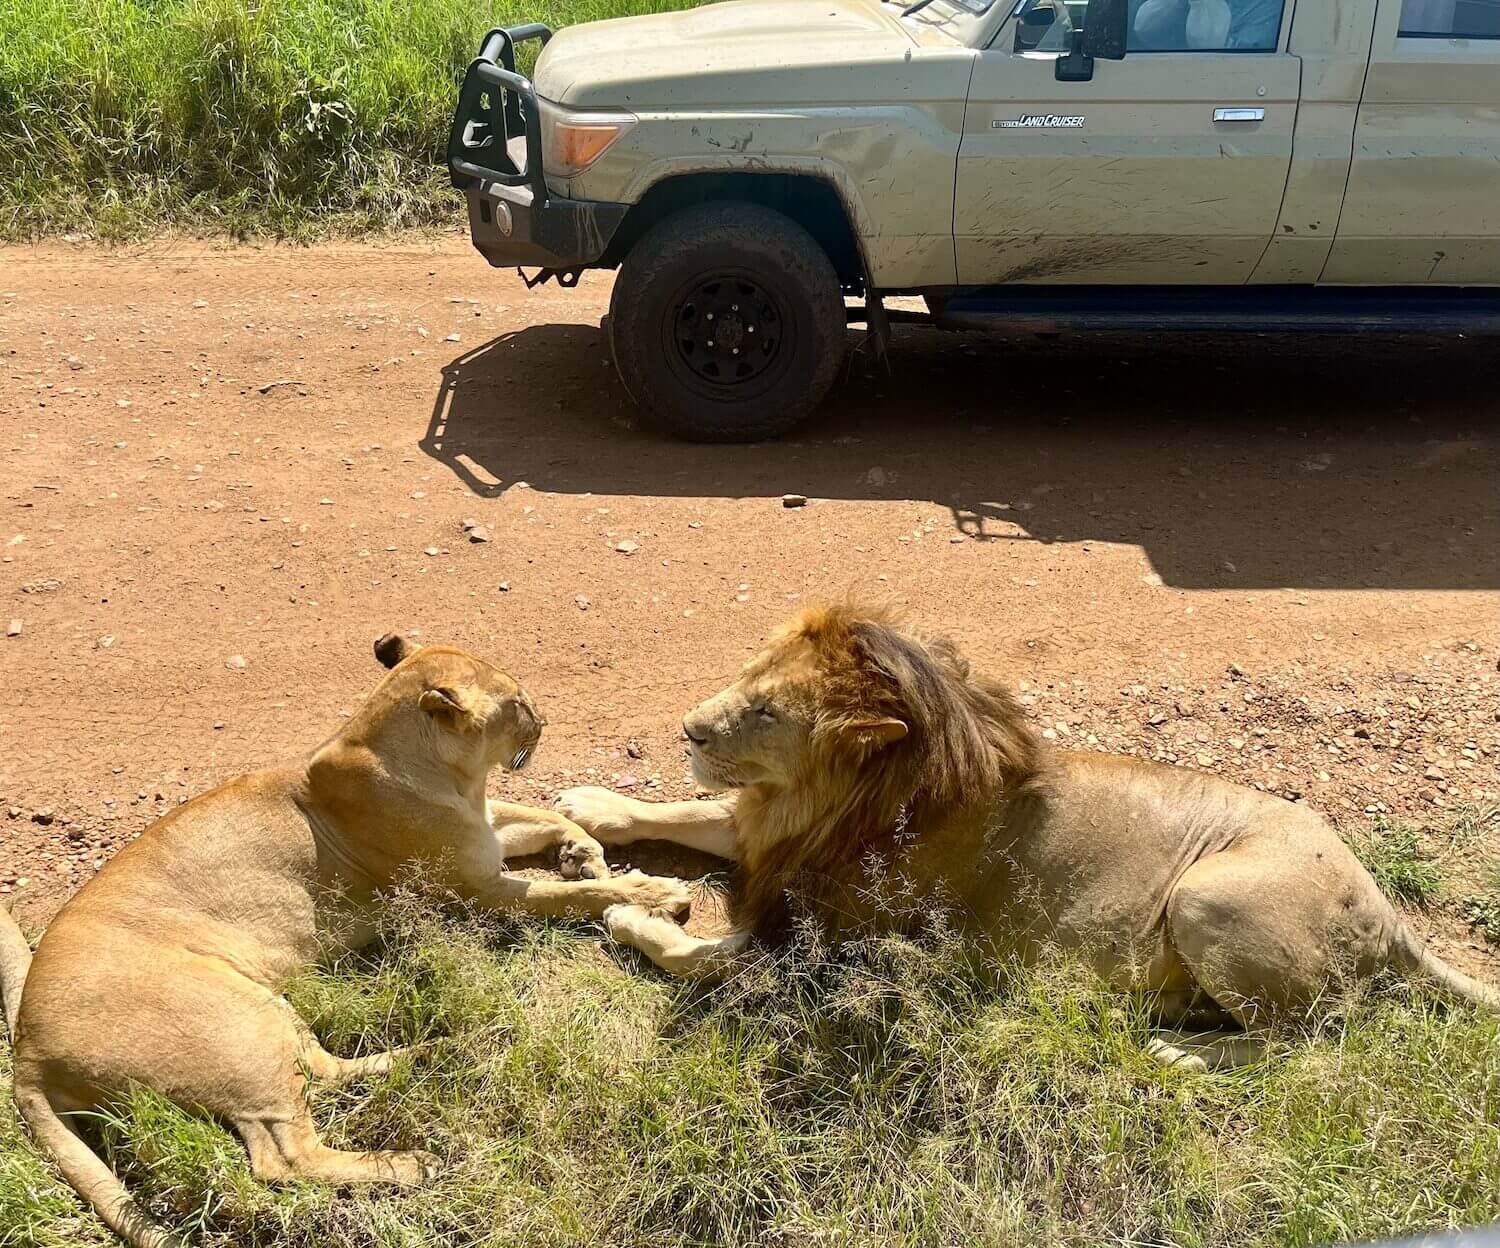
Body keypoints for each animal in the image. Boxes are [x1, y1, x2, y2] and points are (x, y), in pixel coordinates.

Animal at [0, 633, 690, 1248]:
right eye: (516, 702)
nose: (543, 719)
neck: (445, 772)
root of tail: (25, 1054)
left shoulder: (485, 838)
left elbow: (540, 815)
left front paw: (583, 848)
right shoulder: (476, 892)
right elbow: (576, 896)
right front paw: (654, 892)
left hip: (270, 1014)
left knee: (325, 1075)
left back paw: (444, 1052)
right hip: (237, 1021)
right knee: (283, 1156)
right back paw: (412, 1162)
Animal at [558, 603, 1494, 1062]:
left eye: (765, 712)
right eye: (747, 674)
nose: (686, 728)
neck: (827, 802)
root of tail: (1388, 914)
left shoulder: (832, 952)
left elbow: (690, 955)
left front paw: (631, 916)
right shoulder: (773, 840)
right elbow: (689, 813)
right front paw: (588, 807)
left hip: (1207, 896)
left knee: (1302, 1047)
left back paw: (1178, 1053)